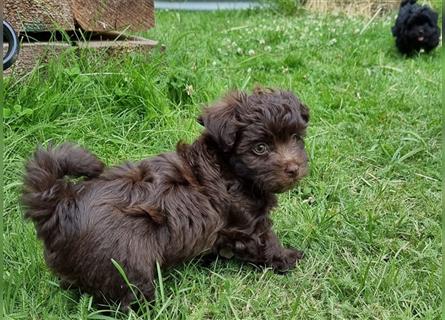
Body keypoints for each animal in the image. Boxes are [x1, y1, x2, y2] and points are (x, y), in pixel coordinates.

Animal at [21, 87, 308, 308]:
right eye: (260, 148)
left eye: (296, 138)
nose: (294, 168)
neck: (229, 168)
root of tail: (60, 205)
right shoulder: (247, 223)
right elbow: (266, 242)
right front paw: (288, 257)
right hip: (126, 262)